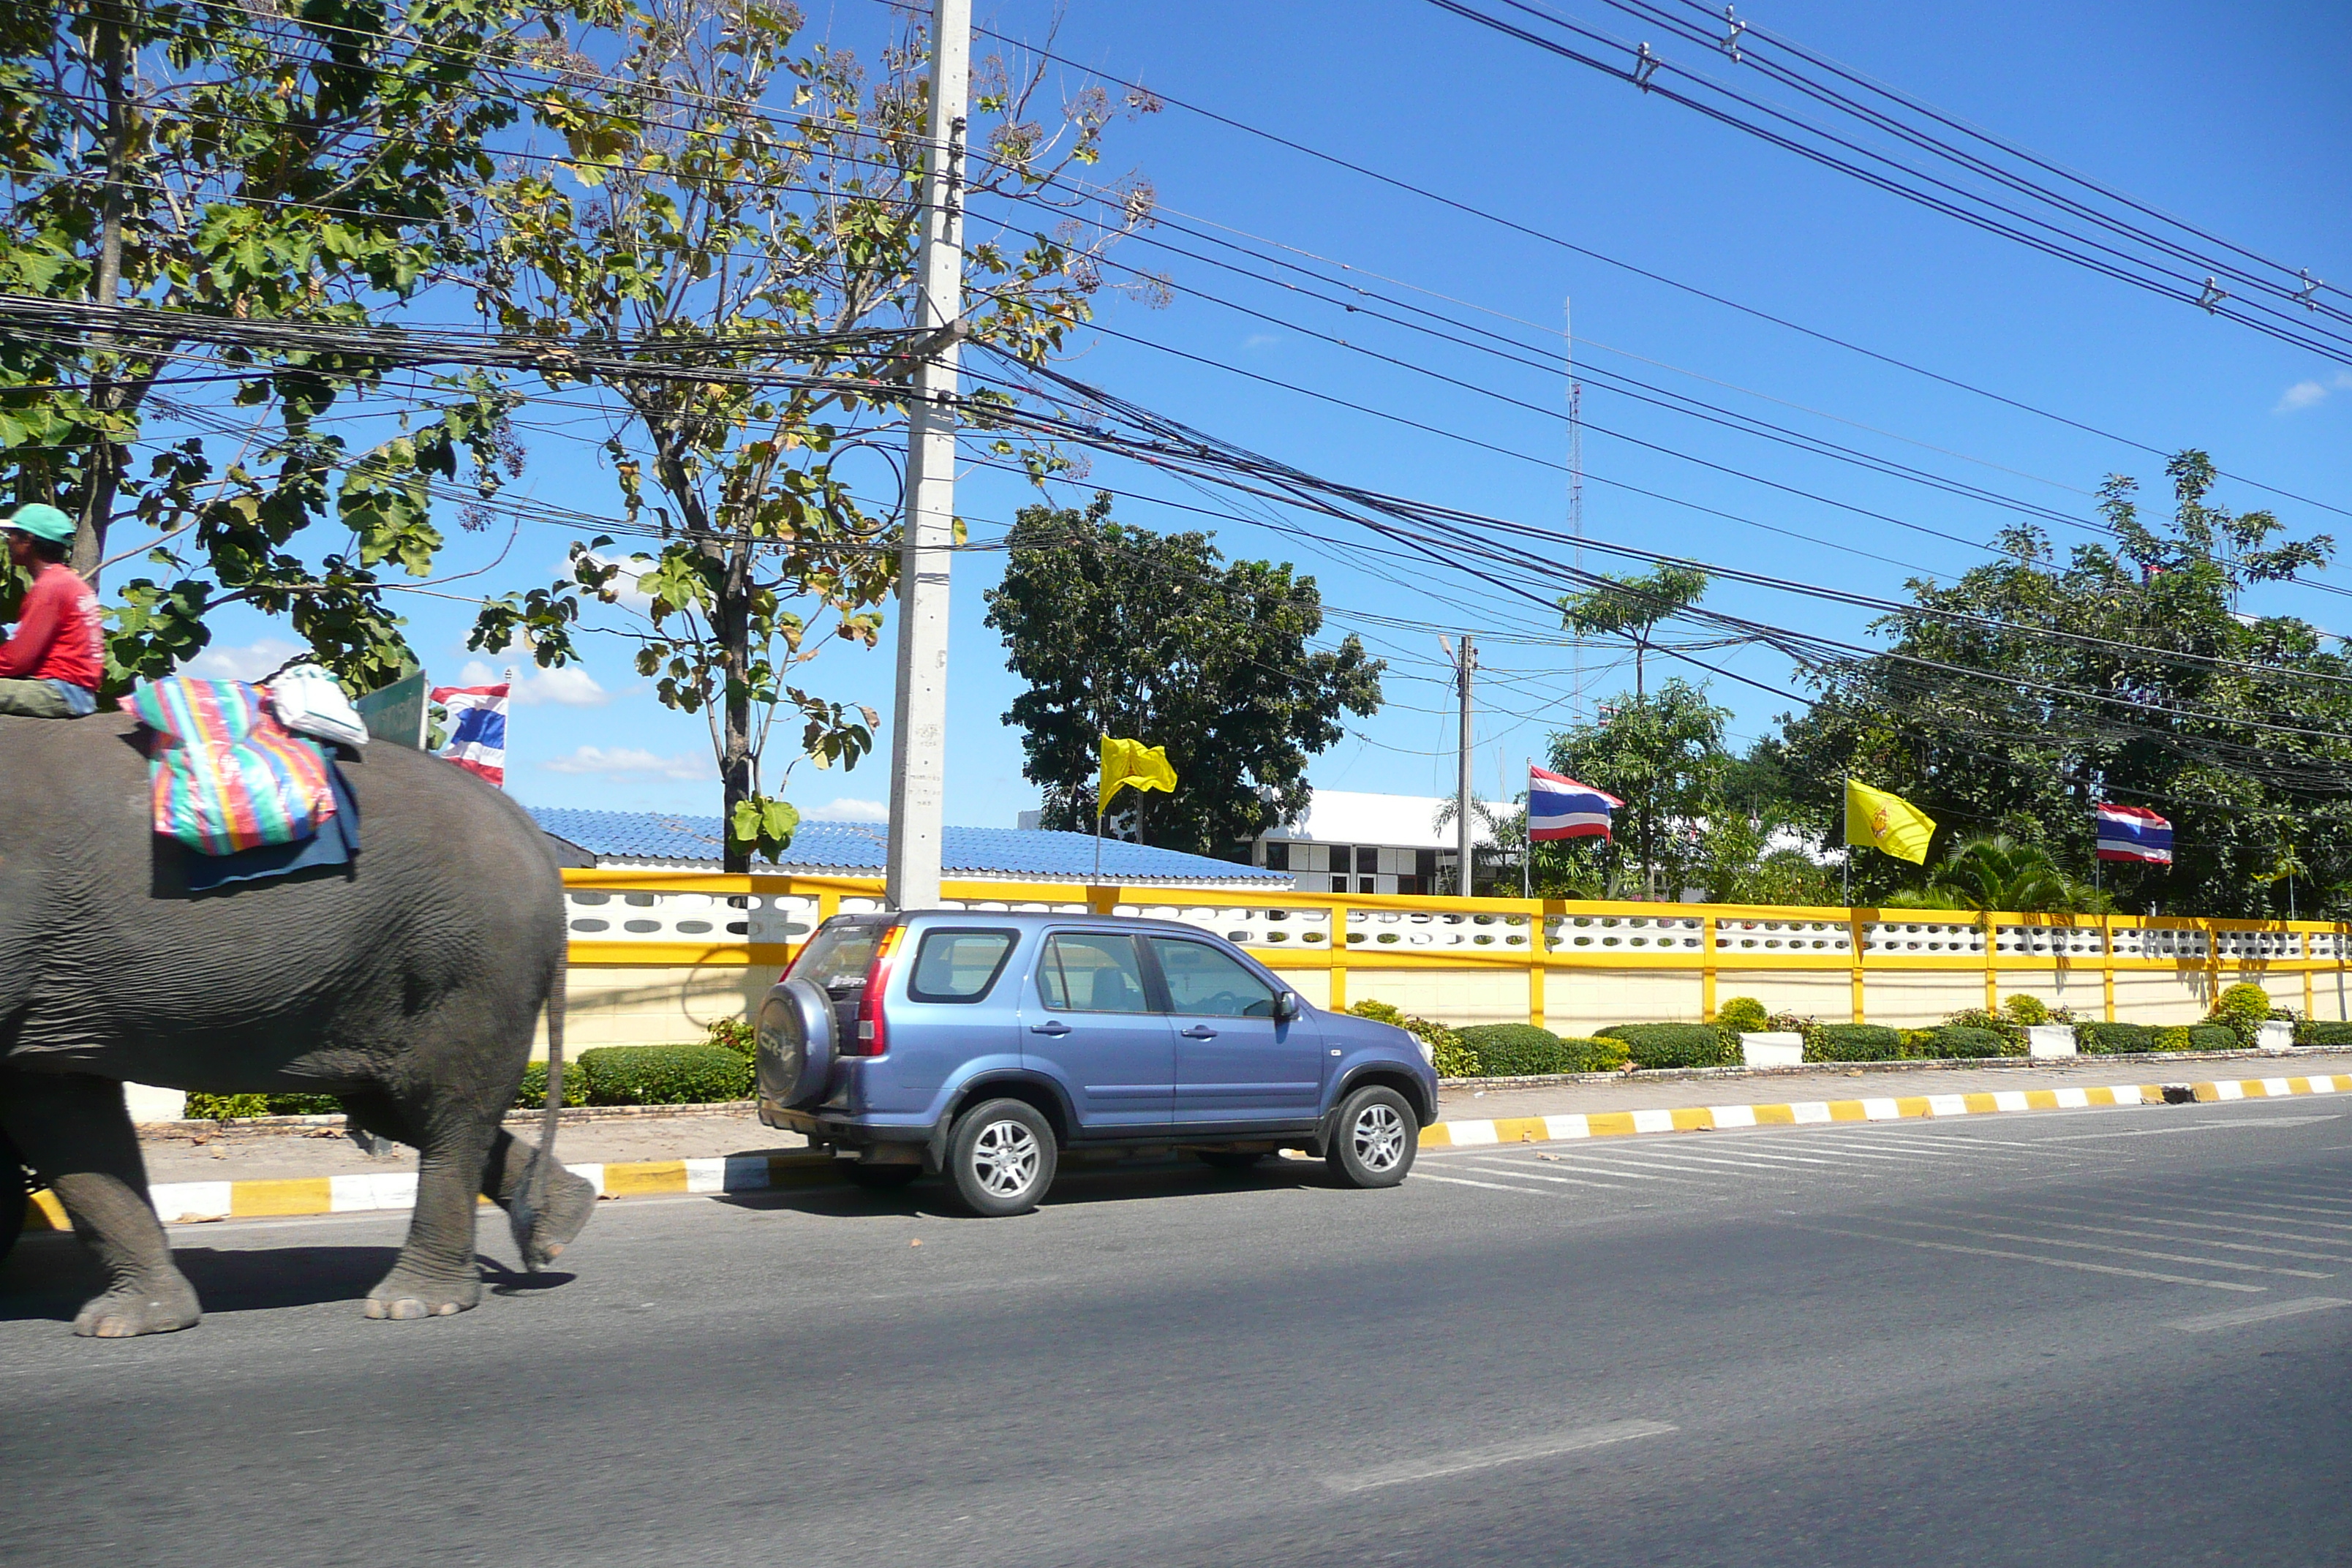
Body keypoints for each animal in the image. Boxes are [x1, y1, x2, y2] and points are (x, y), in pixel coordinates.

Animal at [0, 709, 597, 1335]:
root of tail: (526, 827)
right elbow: (60, 1113)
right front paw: (130, 1324)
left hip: (470, 960)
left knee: (445, 1106)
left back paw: (415, 1302)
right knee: (391, 1106)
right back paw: (563, 1223)